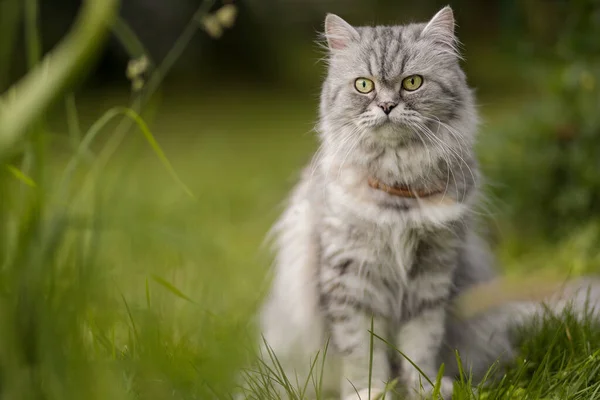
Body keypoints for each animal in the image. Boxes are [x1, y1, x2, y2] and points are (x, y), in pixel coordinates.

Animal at [254, 6, 600, 400]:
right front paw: (370, 392)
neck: (398, 193)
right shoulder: (351, 281)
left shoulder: (430, 277)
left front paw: (425, 388)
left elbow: (419, 346)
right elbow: (361, 352)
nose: (387, 106)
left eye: (412, 83)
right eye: (364, 85)